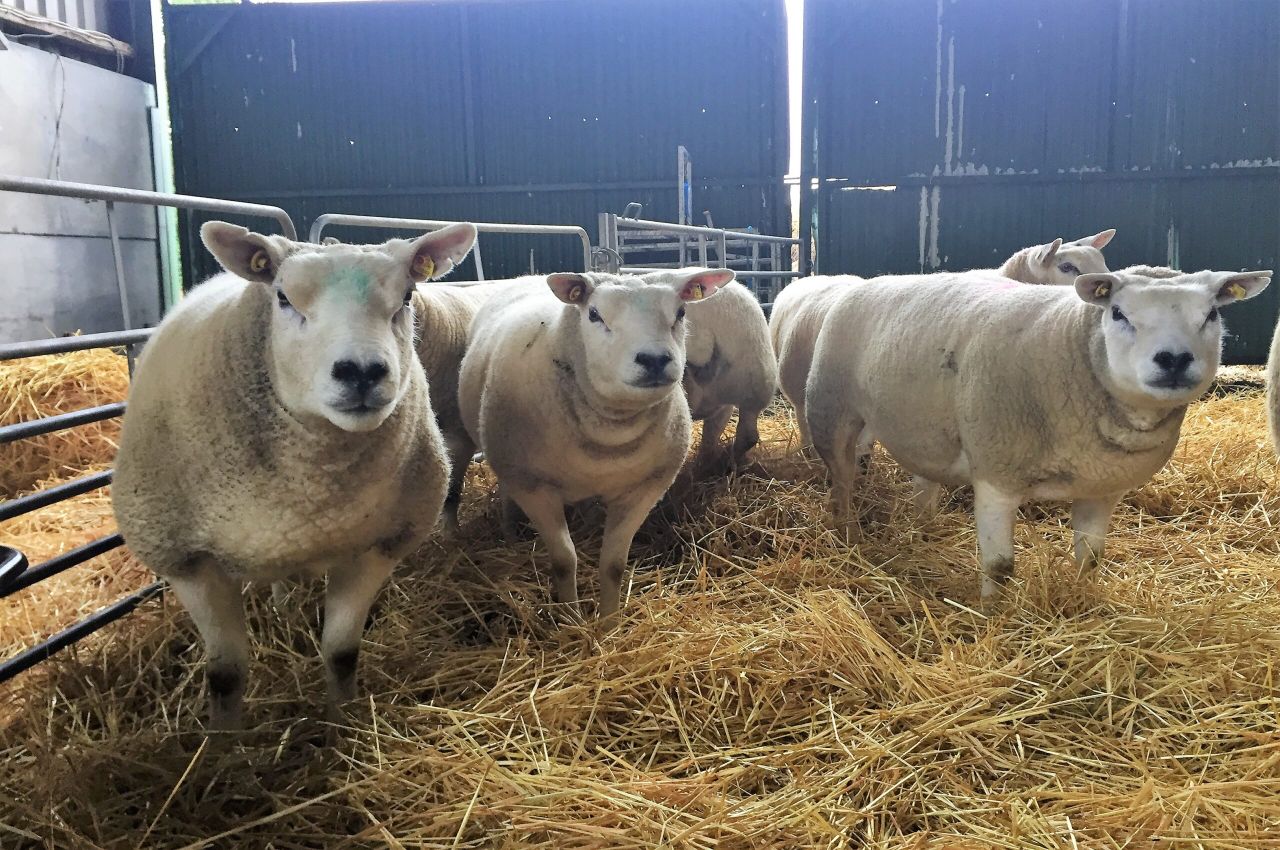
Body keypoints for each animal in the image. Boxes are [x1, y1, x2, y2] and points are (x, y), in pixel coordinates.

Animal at [112, 220, 478, 730]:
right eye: (283, 298)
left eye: (406, 297)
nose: (362, 372)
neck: (315, 486)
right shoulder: (185, 560)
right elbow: (225, 674)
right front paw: (223, 744)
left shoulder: (377, 548)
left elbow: (342, 653)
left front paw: (342, 723)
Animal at [458, 268, 734, 624]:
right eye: (593, 314)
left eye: (681, 312)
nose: (655, 359)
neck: (609, 437)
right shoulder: (535, 488)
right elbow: (564, 561)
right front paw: (571, 620)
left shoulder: (645, 489)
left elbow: (614, 565)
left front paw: (609, 623)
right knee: (507, 491)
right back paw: (510, 532)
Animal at [805, 266, 1271, 602]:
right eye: (1118, 312)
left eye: (1211, 314)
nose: (1173, 359)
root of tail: (872, 281)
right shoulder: (997, 472)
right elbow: (999, 567)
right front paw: (993, 618)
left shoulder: (1102, 487)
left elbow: (1091, 559)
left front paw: (1082, 601)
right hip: (833, 411)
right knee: (842, 480)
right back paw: (847, 534)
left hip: (925, 430)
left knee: (924, 481)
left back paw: (923, 529)